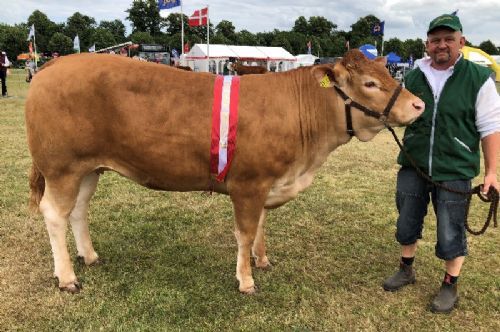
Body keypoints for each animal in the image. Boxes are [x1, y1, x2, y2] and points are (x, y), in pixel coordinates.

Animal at [23, 48, 422, 294]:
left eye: (388, 74)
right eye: (369, 83)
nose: (418, 105)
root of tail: (54, 65)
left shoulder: (266, 184)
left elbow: (260, 226)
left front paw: (262, 260)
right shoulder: (248, 184)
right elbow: (244, 232)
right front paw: (246, 280)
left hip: (88, 168)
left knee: (78, 210)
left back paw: (89, 256)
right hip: (62, 168)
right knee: (54, 214)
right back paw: (67, 278)